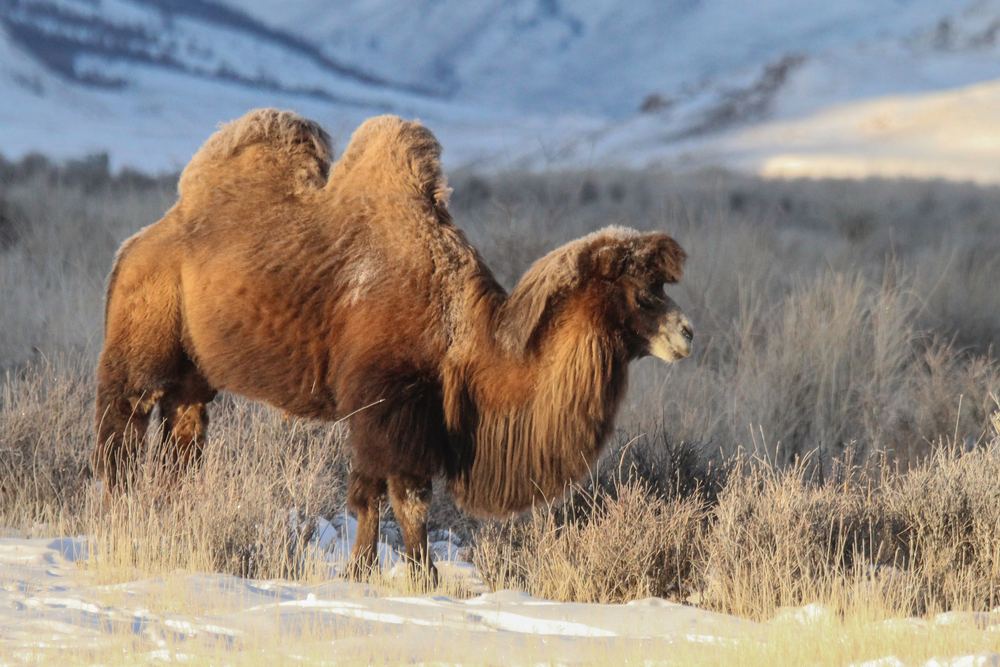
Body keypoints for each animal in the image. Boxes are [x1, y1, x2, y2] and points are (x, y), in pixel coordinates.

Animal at [94, 109, 694, 579]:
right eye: (642, 292)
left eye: (660, 287)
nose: (686, 333)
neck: (465, 337)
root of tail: (133, 247)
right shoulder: (386, 406)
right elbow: (401, 497)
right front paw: (419, 577)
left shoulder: (393, 414)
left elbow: (371, 493)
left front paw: (362, 572)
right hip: (140, 345)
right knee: (122, 428)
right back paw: (116, 515)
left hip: (194, 379)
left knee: (182, 441)